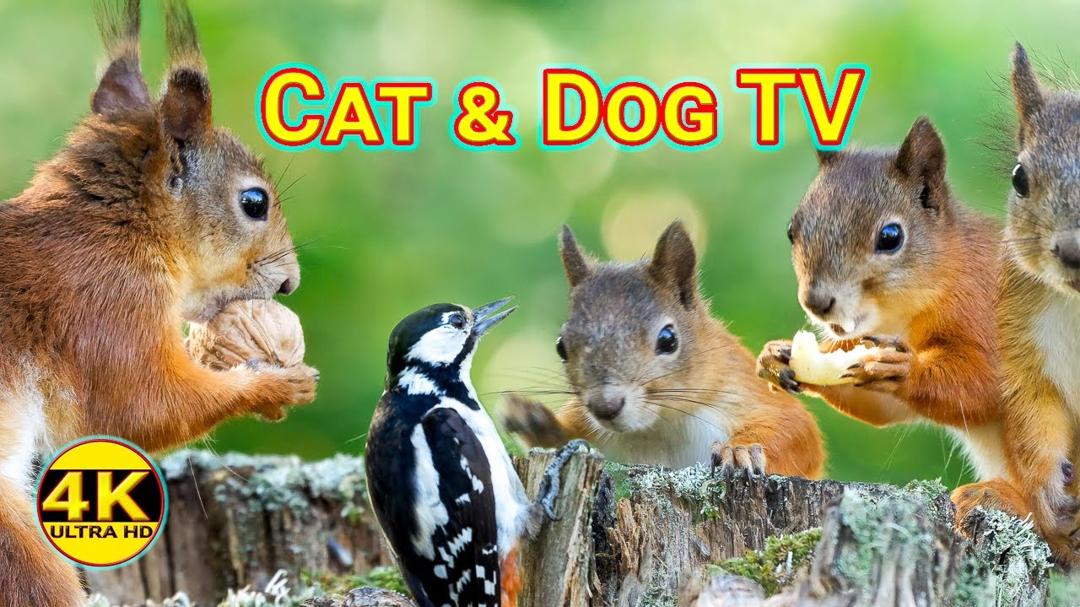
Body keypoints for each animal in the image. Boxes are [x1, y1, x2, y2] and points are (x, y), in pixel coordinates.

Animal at [0, 2, 316, 604]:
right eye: (254, 202)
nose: (290, 283)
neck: (118, 226)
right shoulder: (106, 303)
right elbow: (140, 407)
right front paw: (274, 384)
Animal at [501, 221, 824, 477]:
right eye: (561, 347)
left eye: (668, 339)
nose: (605, 407)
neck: (659, 425)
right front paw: (533, 419)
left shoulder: (746, 389)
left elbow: (796, 429)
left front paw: (739, 450)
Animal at [754, 117, 1015, 487]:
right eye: (792, 230)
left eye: (891, 237)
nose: (815, 303)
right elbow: (878, 406)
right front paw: (777, 356)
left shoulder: (987, 313)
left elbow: (986, 384)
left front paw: (904, 371)